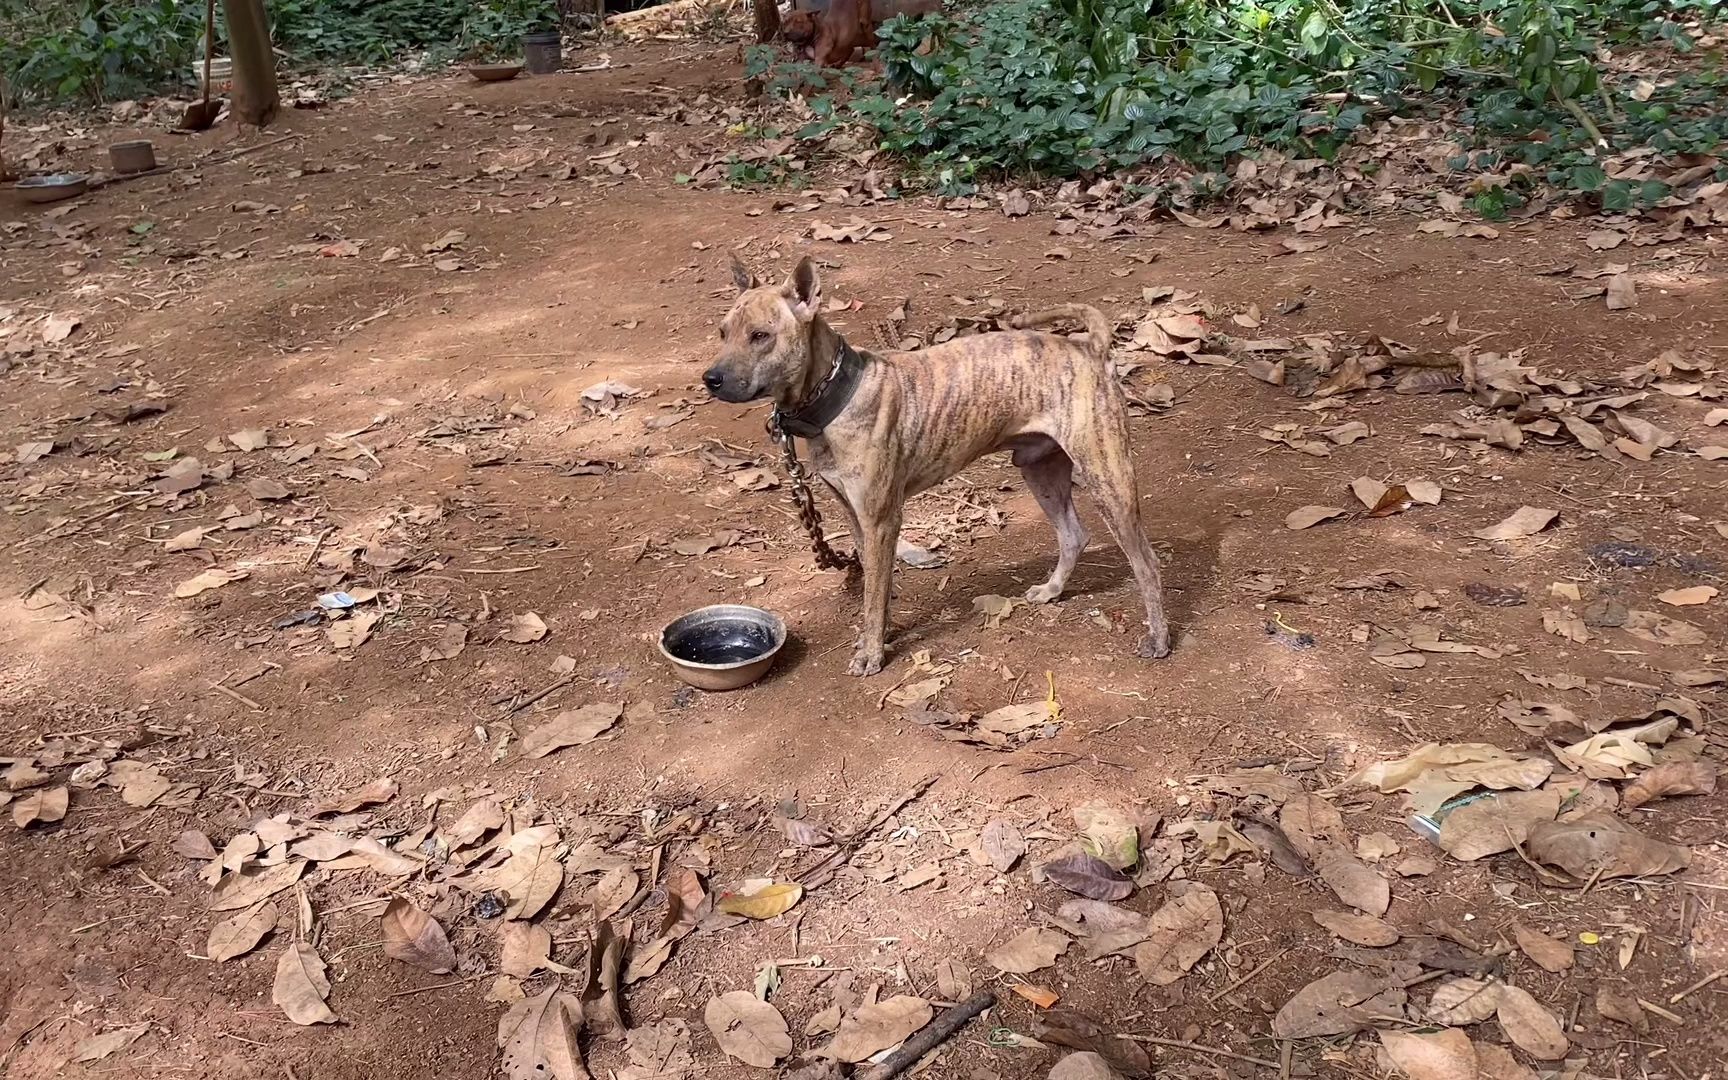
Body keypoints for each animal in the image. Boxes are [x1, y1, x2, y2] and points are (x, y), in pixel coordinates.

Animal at [705, 254, 1175, 673]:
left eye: (760, 336)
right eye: (723, 332)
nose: (711, 379)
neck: (837, 393)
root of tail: (1090, 349)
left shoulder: (881, 521)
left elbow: (874, 594)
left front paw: (872, 653)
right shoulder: (858, 520)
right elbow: (876, 589)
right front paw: (878, 636)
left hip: (1107, 477)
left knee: (1146, 562)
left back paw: (1158, 637)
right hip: (1040, 470)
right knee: (1074, 535)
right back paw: (1052, 590)